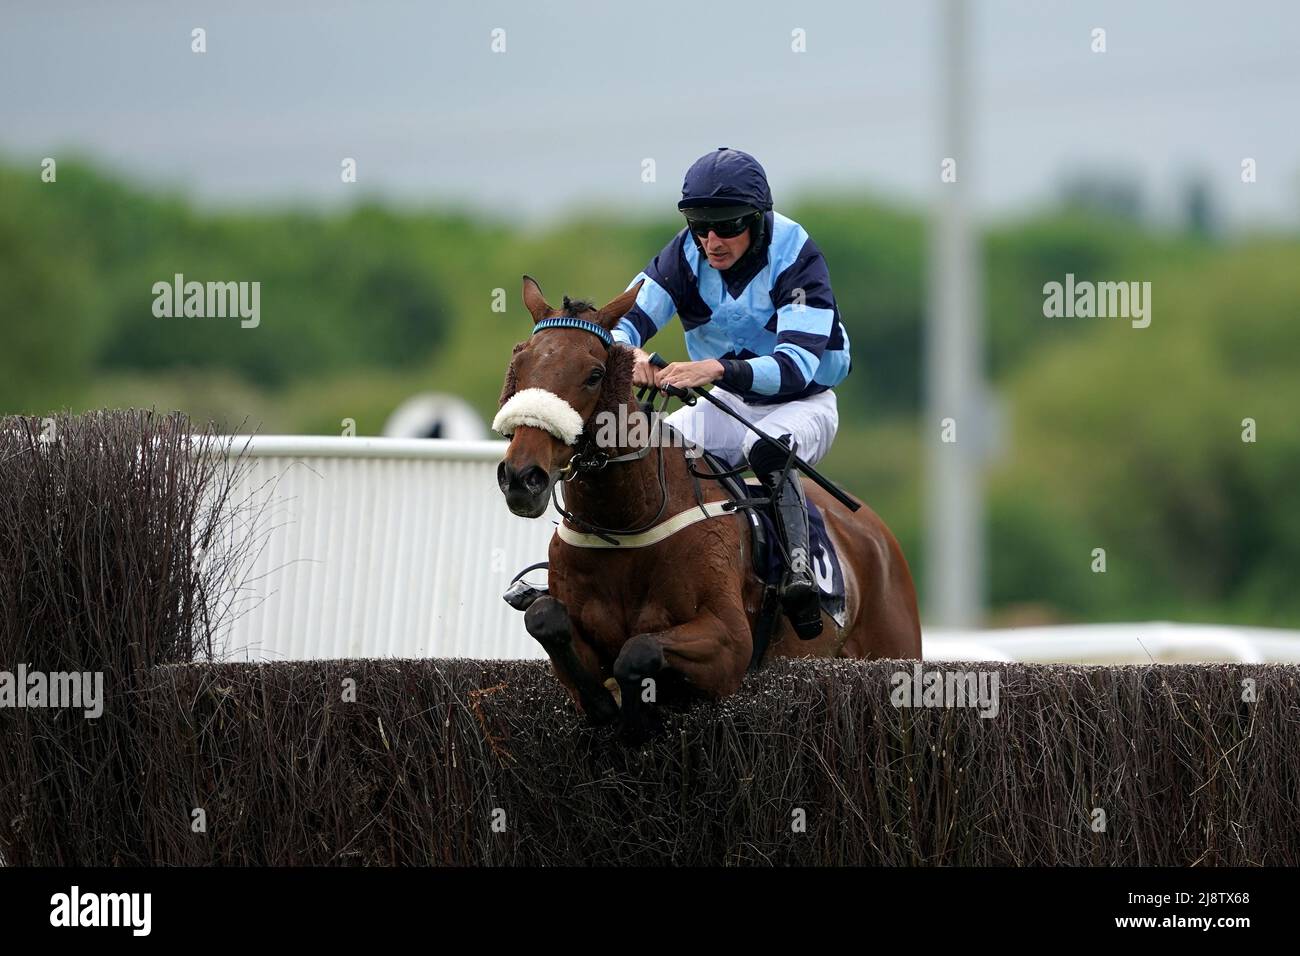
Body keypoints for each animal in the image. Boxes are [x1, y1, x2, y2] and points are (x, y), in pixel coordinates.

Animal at [491, 277, 920, 738]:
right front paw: (604, 703)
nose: (522, 477)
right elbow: (544, 618)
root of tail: (877, 534)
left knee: (770, 452)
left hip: (893, 645)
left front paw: (637, 717)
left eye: (594, 375)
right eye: (520, 364)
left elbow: (638, 649)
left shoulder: (729, 643)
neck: (627, 523)